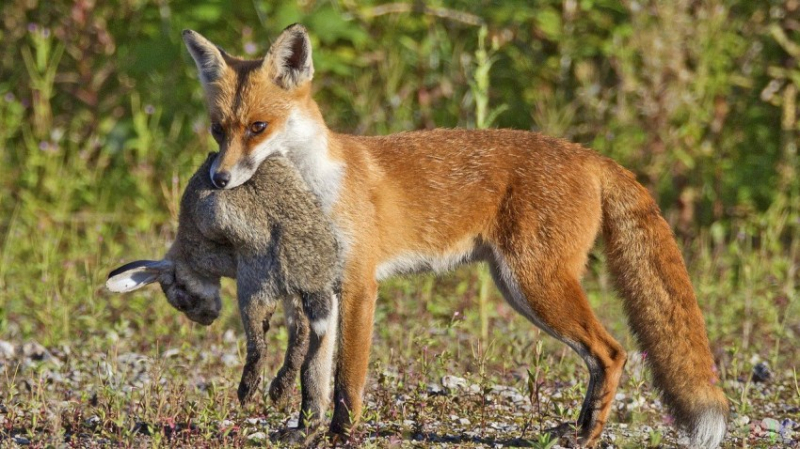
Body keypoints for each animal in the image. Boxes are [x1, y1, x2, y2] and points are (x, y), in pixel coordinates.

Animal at [183, 25, 732, 448]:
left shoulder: (360, 285)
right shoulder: (319, 290)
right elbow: (313, 378)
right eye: (218, 131)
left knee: (613, 353)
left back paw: (587, 435)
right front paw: (307, 430)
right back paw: (574, 428)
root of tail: (587, 153)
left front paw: (340, 435)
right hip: (520, 287)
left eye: (259, 127)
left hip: (534, 285)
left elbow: (346, 379)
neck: (315, 187)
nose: (219, 179)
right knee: (601, 358)